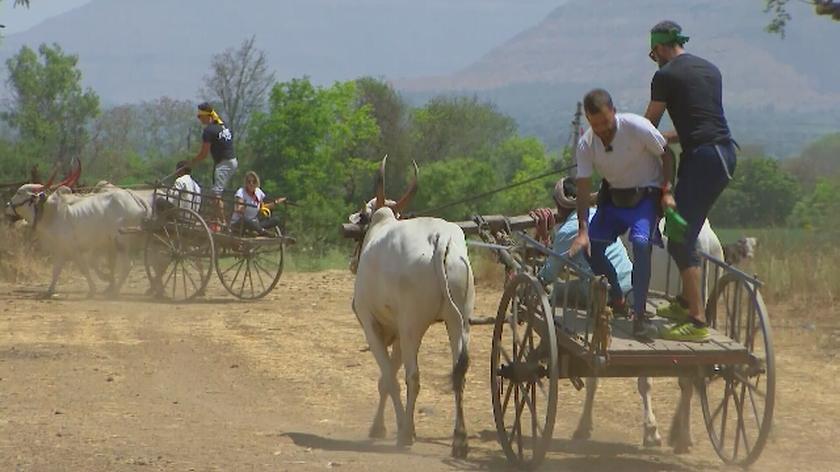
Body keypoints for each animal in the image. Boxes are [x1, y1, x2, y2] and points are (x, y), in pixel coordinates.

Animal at [5, 183, 153, 296]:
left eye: (19, 192)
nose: (6, 205)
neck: (51, 213)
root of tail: (135, 197)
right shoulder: (61, 250)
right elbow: (56, 271)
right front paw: (50, 290)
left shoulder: (74, 249)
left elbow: (84, 269)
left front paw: (93, 289)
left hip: (121, 241)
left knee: (128, 265)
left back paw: (115, 291)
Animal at [352, 158, 476, 458]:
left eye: (361, 215)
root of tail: (441, 238)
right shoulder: (397, 332)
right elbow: (386, 380)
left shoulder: (372, 325)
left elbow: (389, 378)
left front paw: (391, 428)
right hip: (459, 323)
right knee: (459, 375)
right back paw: (460, 440)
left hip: (412, 326)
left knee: (413, 376)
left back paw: (406, 435)